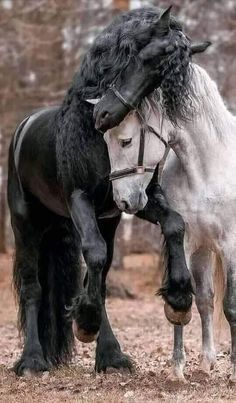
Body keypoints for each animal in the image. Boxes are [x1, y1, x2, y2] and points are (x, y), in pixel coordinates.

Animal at [8, 7, 194, 378]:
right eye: (149, 58)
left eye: (164, 74)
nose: (104, 114)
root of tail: (24, 127)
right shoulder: (79, 199)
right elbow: (92, 253)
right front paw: (85, 320)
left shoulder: (133, 201)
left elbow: (175, 223)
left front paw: (179, 299)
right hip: (25, 224)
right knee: (33, 286)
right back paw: (33, 360)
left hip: (102, 222)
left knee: (103, 277)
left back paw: (111, 356)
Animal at [106, 62, 236, 382]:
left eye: (126, 140)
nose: (123, 201)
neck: (207, 171)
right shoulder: (188, 243)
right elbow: (190, 300)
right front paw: (178, 369)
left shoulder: (230, 245)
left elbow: (231, 306)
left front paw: (233, 370)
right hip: (203, 252)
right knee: (205, 300)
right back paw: (207, 361)